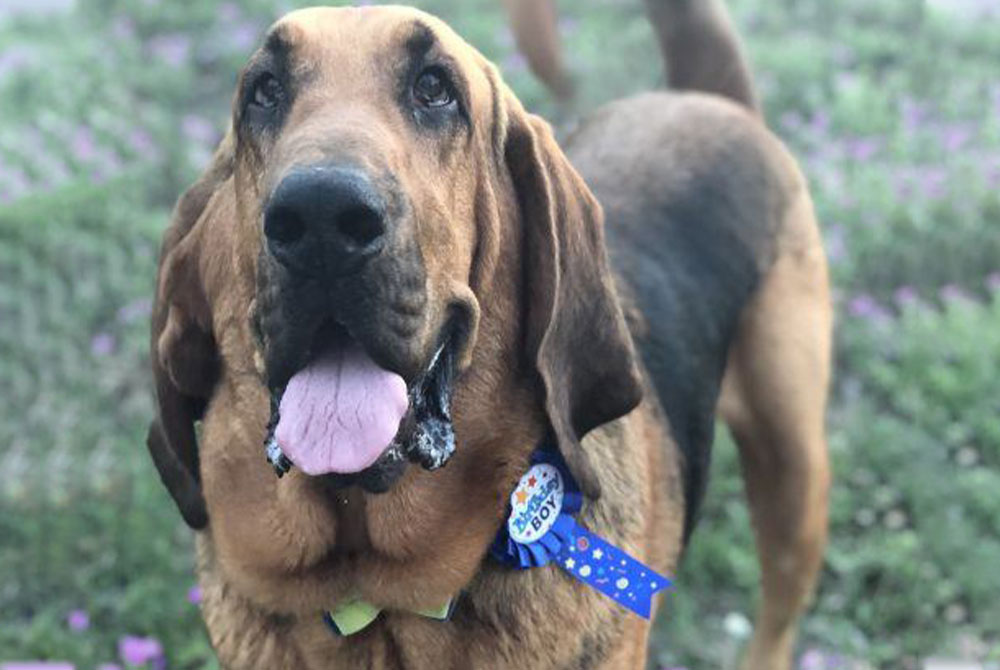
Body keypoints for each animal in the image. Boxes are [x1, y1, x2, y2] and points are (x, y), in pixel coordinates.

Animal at [148, 2, 832, 668]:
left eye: (435, 88)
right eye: (263, 92)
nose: (320, 217)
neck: (376, 603)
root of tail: (705, 98)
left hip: (793, 469)